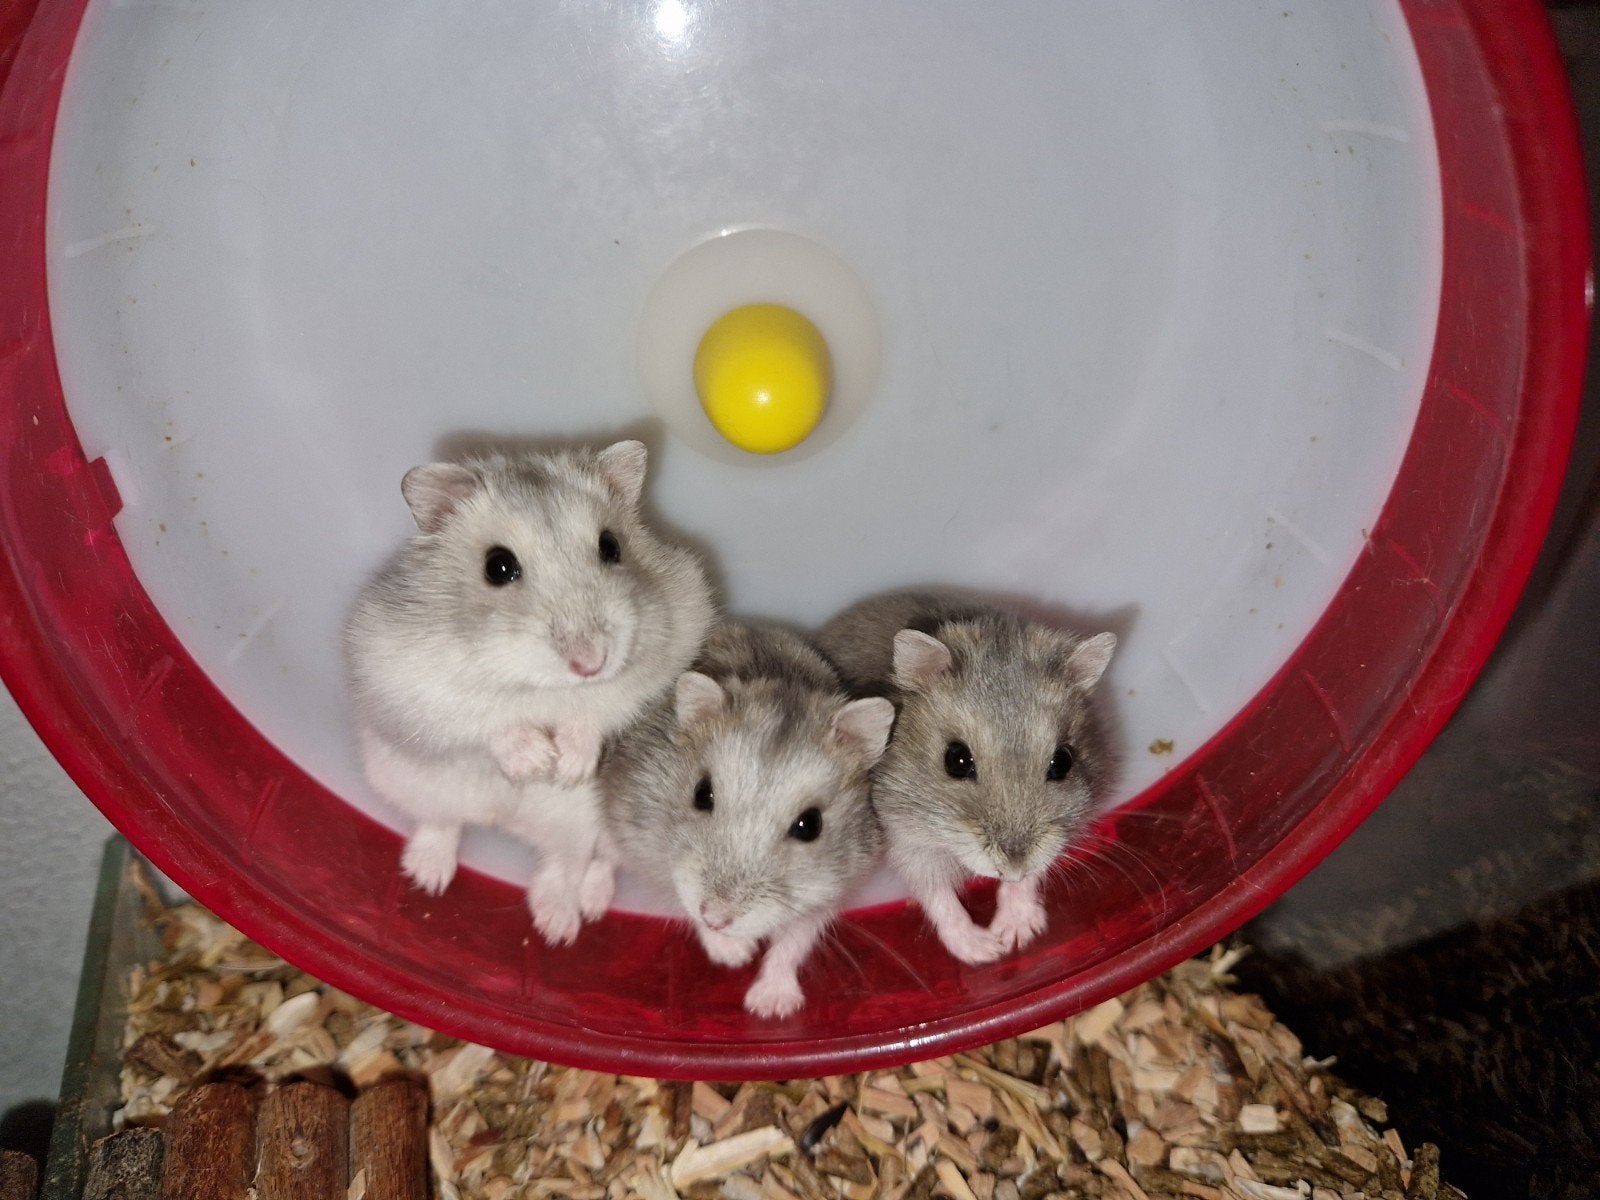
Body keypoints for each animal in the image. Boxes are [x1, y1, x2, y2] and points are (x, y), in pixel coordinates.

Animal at [344, 440, 715, 944]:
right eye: (498, 566)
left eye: (612, 546)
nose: (590, 662)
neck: (542, 687)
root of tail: (503, 821)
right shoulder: (409, 679)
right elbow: (488, 721)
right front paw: (538, 762)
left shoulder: (665, 656)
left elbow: (598, 709)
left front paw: (566, 770)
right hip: (408, 782)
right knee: (442, 822)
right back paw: (428, 878)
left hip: (593, 829)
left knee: (574, 865)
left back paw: (564, 924)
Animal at [603, 619, 894, 1018]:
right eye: (702, 794)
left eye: (810, 825)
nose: (717, 917)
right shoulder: (642, 837)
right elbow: (681, 898)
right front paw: (736, 955)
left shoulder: (833, 887)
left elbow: (795, 938)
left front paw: (768, 1008)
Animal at [818, 591, 1117, 965]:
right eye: (956, 760)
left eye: (1064, 761)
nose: (1011, 868)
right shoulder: (906, 838)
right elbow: (938, 895)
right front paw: (985, 951)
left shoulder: (1060, 833)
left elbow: (1033, 874)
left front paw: (1015, 936)